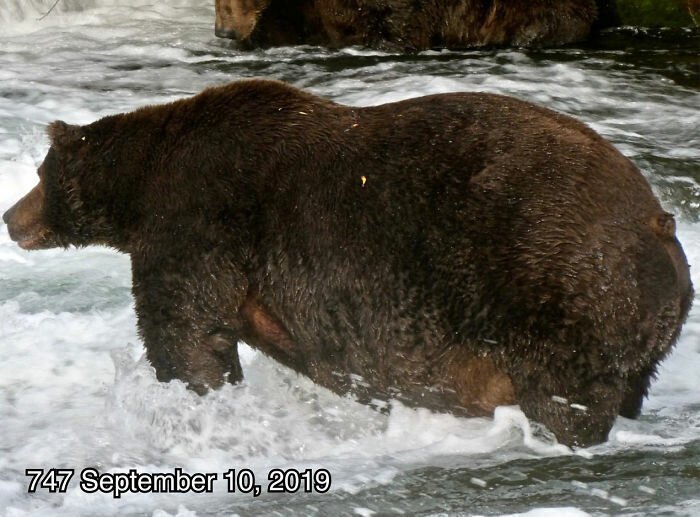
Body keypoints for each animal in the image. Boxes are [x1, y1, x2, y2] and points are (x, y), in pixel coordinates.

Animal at [4, 78, 696, 446]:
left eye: (38, 174)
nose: (11, 216)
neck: (142, 182)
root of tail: (661, 225)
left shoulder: (198, 219)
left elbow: (186, 331)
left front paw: (197, 401)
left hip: (559, 282)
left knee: (563, 395)